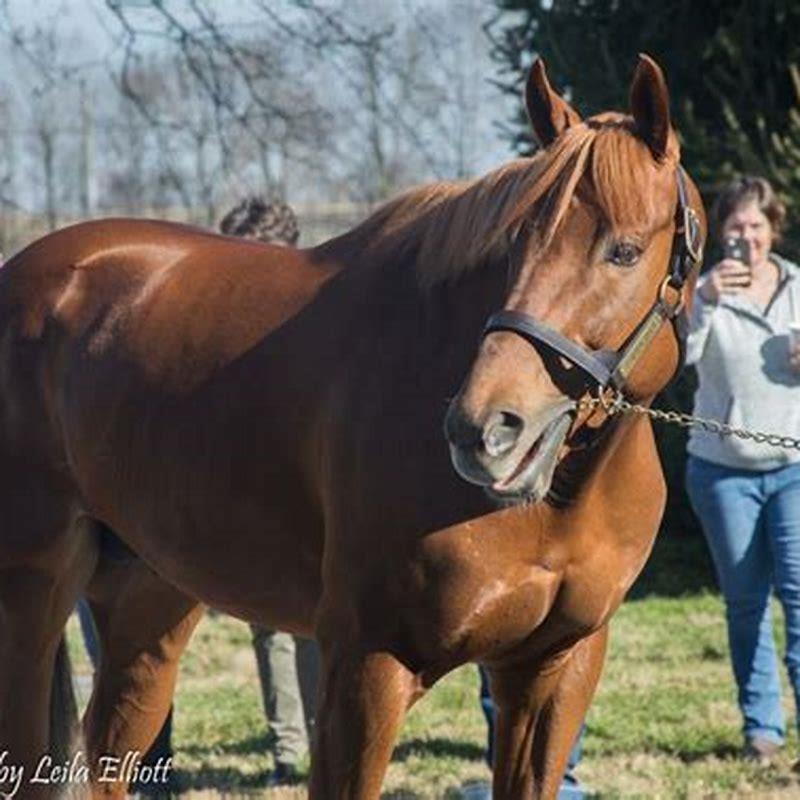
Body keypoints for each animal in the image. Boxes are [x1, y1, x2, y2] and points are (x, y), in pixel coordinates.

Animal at [0, 54, 704, 799]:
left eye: (624, 252)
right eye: (516, 244)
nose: (483, 429)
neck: (561, 498)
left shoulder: (551, 671)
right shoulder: (367, 665)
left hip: (148, 598)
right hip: (31, 595)